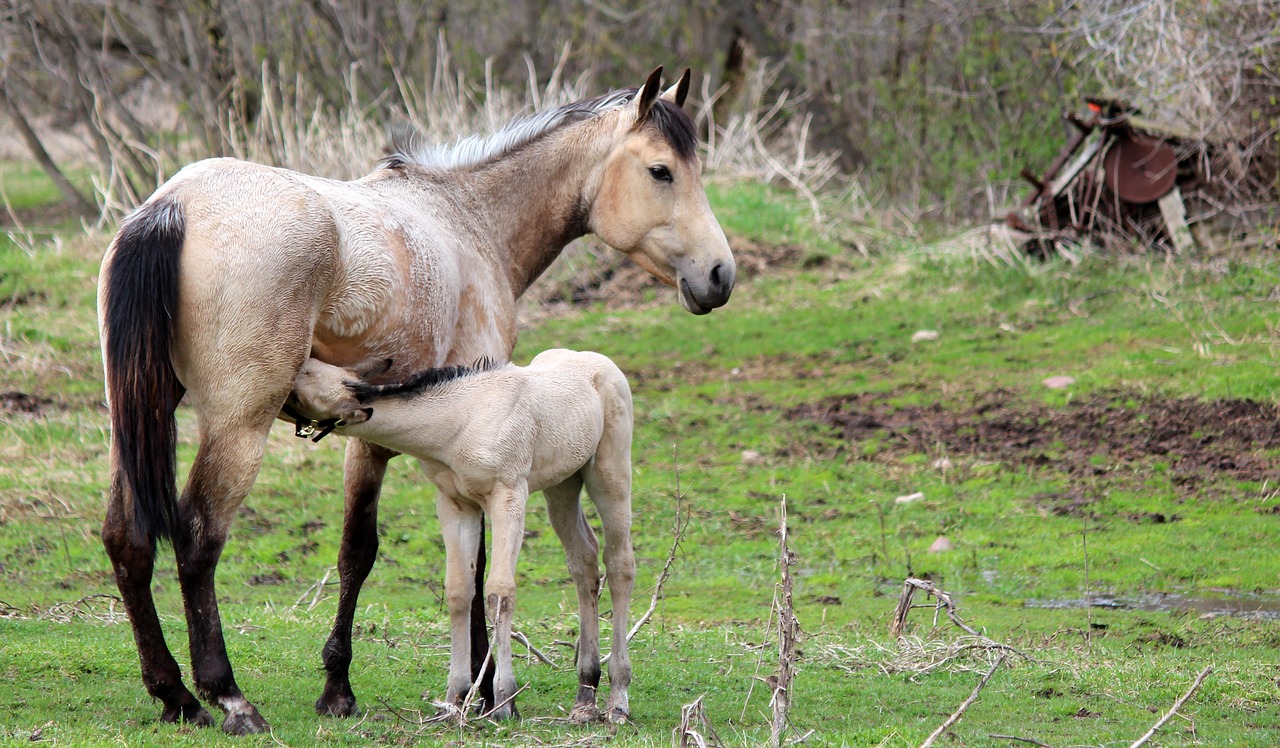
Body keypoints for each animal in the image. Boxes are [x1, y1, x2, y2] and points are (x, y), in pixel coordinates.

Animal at [288, 348, 632, 722]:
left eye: (300, 384)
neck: (460, 422)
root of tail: (599, 361)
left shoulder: (509, 495)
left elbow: (500, 592)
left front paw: (504, 700)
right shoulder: (454, 504)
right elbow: (458, 591)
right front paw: (454, 698)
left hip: (610, 473)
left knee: (619, 564)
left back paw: (617, 698)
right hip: (563, 484)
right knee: (584, 560)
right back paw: (585, 695)